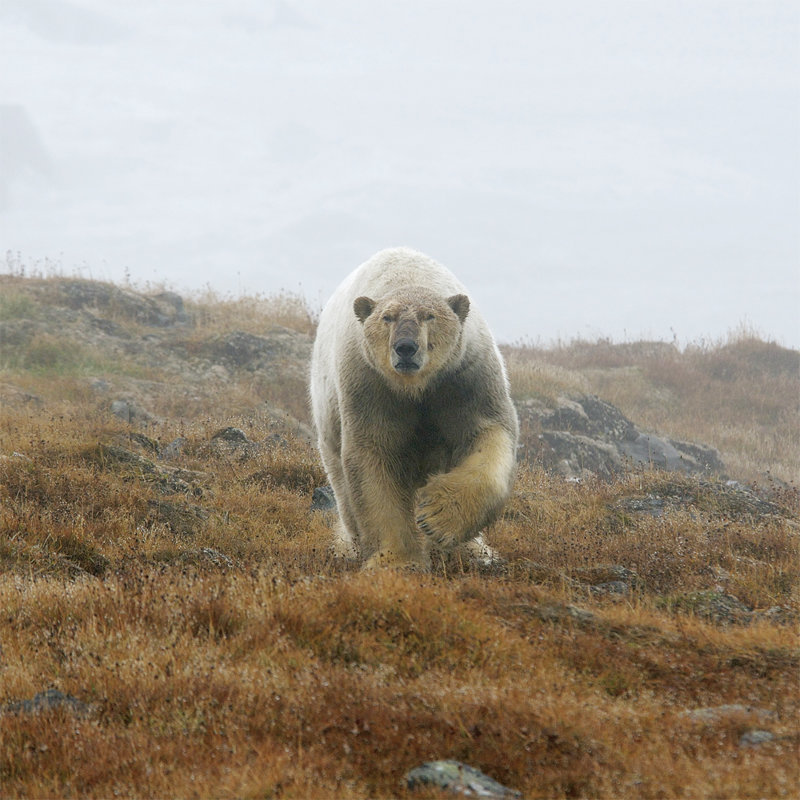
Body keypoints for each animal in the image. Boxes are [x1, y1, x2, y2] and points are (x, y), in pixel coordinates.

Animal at [306, 248, 520, 568]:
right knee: (342, 487)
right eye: (387, 317)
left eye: (429, 316)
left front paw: (438, 516)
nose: (405, 347)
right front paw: (394, 560)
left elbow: (487, 433)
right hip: (328, 424)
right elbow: (374, 454)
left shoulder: (464, 377)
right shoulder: (370, 384)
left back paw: (475, 550)